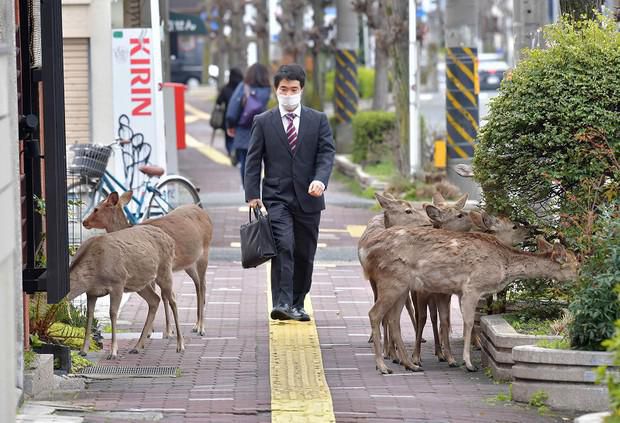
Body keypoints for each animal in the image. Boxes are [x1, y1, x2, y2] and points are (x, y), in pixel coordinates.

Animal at [68, 227, 185, 360]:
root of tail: (171, 240)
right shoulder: (91, 292)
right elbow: (89, 315)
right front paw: (83, 351)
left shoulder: (118, 282)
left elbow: (113, 313)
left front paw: (113, 352)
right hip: (139, 282)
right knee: (155, 299)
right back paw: (137, 347)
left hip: (164, 270)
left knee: (173, 300)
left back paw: (180, 345)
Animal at [84, 193, 213, 338]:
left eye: (96, 209)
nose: (84, 222)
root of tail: (204, 213)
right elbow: (159, 296)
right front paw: (153, 331)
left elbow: (163, 296)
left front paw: (167, 331)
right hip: (188, 263)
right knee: (198, 284)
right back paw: (196, 325)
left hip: (205, 251)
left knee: (202, 285)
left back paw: (201, 328)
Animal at [366, 229, 580, 374]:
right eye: (576, 264)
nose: (582, 278)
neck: (503, 265)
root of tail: (366, 251)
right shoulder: (472, 287)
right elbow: (469, 323)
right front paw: (468, 363)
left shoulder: (462, 292)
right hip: (391, 280)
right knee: (374, 314)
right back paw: (383, 366)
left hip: (402, 286)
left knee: (393, 319)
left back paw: (410, 364)